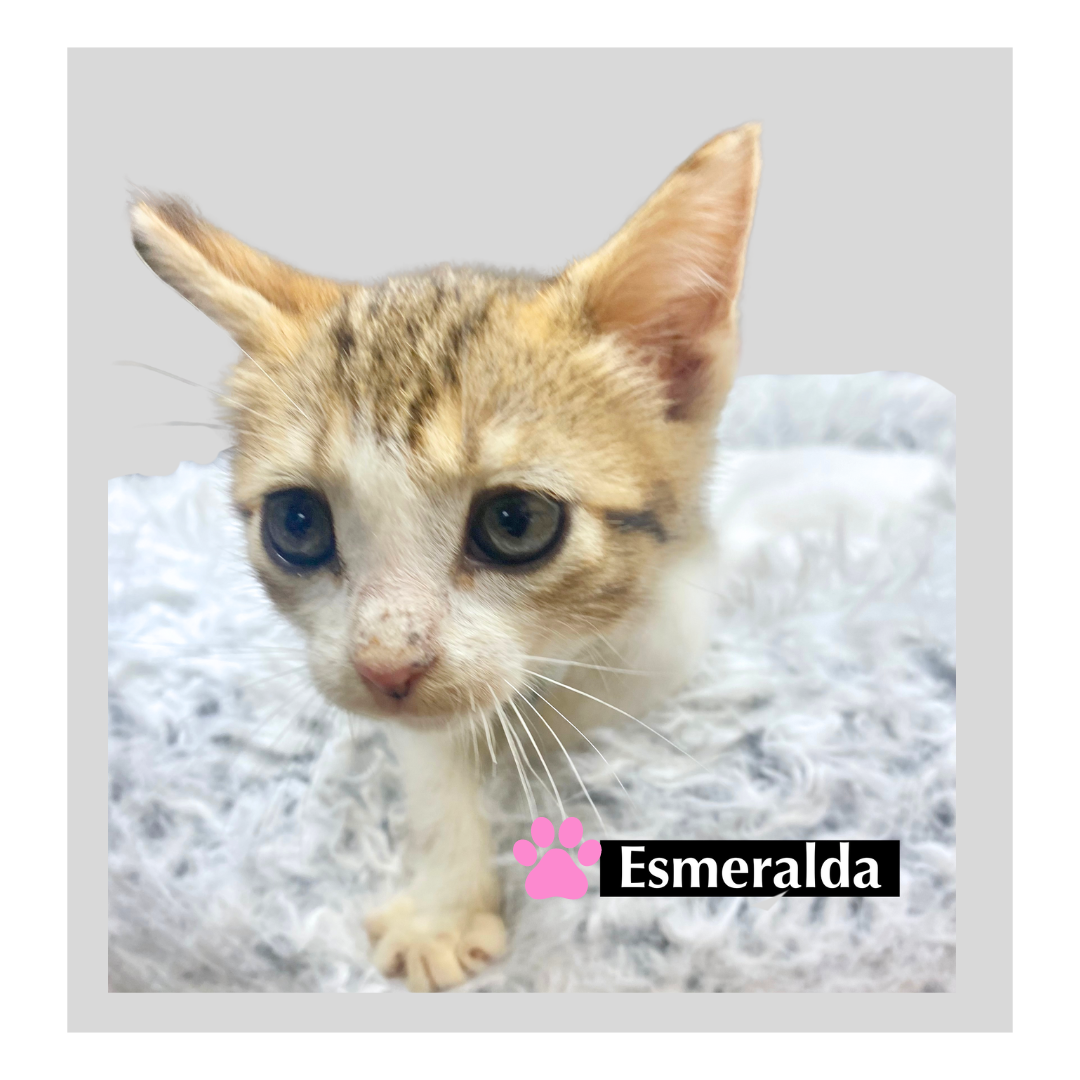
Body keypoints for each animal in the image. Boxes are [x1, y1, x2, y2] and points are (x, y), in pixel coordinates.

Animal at [128, 122, 760, 989]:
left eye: (516, 521)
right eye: (298, 523)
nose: (387, 667)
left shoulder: (671, 637)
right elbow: (433, 764)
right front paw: (445, 909)